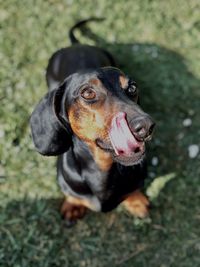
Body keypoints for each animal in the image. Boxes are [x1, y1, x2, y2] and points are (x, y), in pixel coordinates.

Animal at [30, 17, 155, 225]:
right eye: (88, 93)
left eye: (132, 88)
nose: (146, 126)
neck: (103, 171)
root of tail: (76, 45)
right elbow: (72, 194)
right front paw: (73, 204)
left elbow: (134, 189)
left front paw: (136, 201)